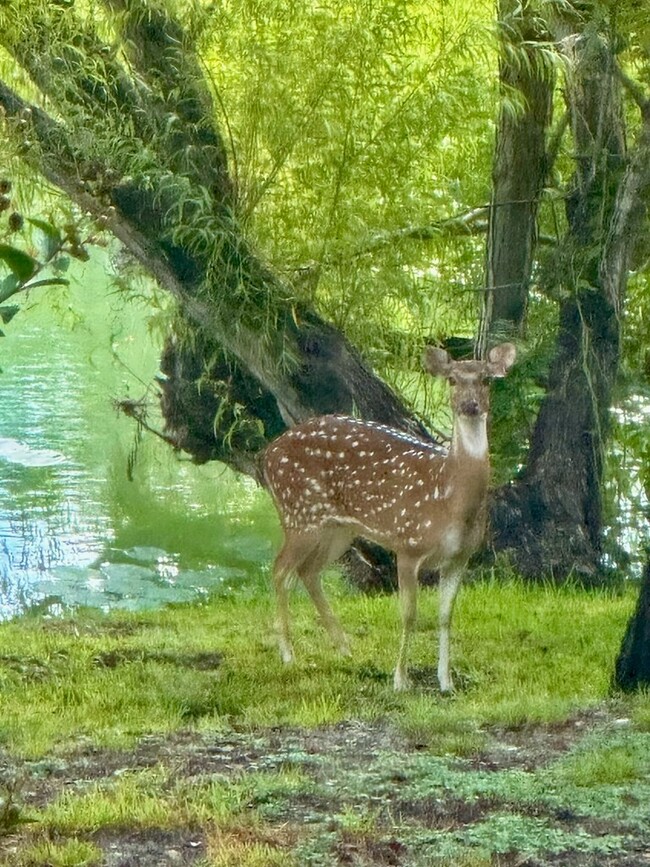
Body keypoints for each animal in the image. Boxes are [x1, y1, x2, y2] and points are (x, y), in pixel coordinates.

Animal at [260, 344, 512, 692]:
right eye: (451, 380)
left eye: (486, 379)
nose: (469, 405)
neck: (449, 499)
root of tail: (266, 455)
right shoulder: (407, 545)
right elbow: (409, 614)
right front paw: (400, 680)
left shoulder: (460, 557)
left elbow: (446, 616)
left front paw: (446, 681)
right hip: (299, 514)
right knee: (279, 569)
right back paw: (288, 654)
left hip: (338, 528)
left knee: (307, 571)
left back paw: (344, 648)